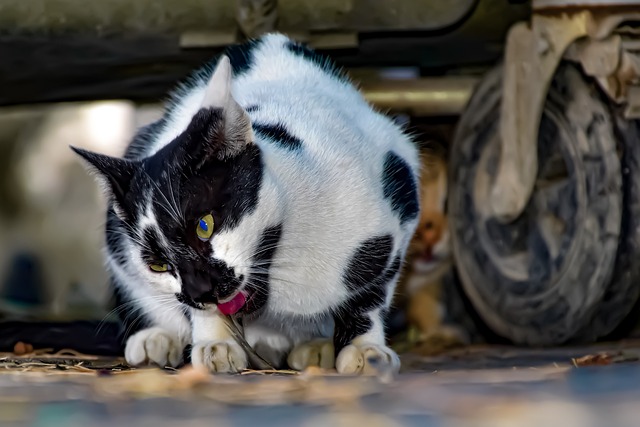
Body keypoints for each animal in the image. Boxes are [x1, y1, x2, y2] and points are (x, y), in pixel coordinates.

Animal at [72, 34, 422, 374]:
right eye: (158, 265)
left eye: (205, 226)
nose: (199, 291)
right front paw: (216, 343)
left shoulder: (398, 186)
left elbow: (371, 294)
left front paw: (365, 349)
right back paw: (155, 339)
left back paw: (313, 346)